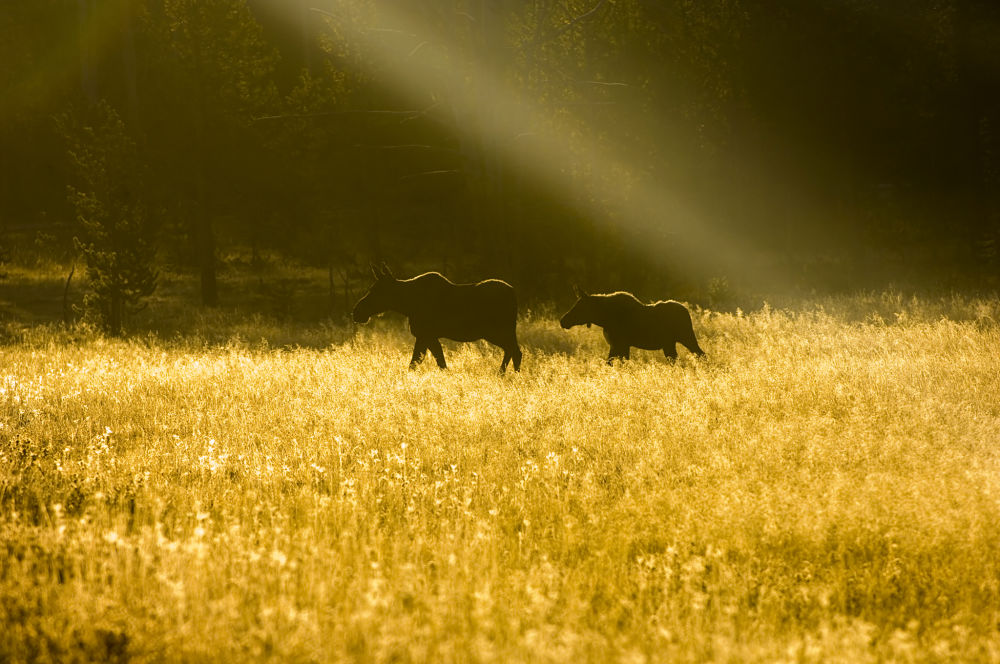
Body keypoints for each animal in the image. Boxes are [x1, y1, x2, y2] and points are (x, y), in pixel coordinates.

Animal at [352, 264, 524, 374]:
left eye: (376, 290)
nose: (356, 311)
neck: (407, 305)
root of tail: (514, 294)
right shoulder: (424, 336)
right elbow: (423, 363)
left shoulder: (427, 335)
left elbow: (430, 363)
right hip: (503, 332)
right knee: (514, 350)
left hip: (497, 332)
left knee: (515, 350)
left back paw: (505, 375)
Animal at [564, 286, 704, 366]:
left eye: (580, 306)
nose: (563, 320)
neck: (604, 318)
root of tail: (687, 311)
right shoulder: (618, 345)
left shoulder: (621, 344)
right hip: (669, 344)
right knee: (677, 360)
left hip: (686, 337)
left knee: (701, 354)